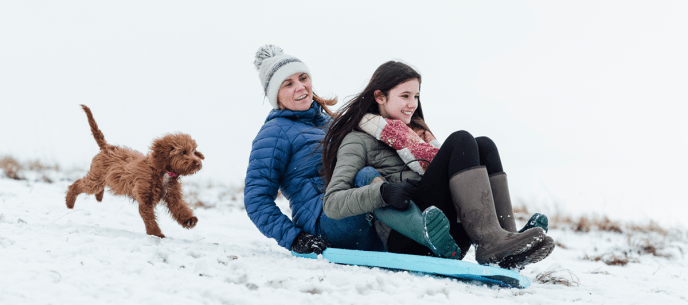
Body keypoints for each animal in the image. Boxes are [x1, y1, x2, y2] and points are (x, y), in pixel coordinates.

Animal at [66, 105, 203, 238]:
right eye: (183, 152)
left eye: (194, 151)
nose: (198, 163)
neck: (161, 171)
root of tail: (107, 147)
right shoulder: (145, 199)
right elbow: (149, 217)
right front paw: (156, 233)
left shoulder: (172, 195)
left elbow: (180, 208)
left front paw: (189, 220)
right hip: (96, 179)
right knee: (77, 184)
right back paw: (69, 202)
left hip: (101, 179)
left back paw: (98, 197)